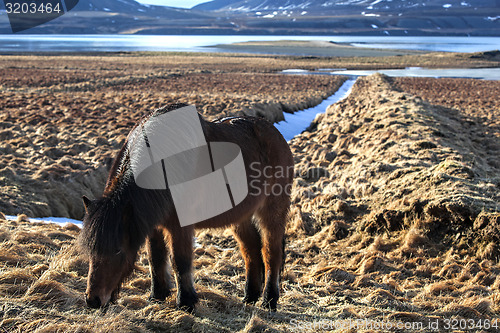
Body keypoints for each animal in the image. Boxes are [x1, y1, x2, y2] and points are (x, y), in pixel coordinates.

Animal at [79, 104, 292, 312]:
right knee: (251, 250)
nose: (93, 300)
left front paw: (186, 302)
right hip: (241, 216)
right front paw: (157, 295)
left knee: (271, 253)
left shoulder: (180, 226)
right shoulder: (154, 225)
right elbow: (155, 258)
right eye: (91, 249)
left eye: (117, 250)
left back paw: (269, 300)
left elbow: (180, 261)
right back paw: (250, 297)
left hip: (272, 212)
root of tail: (276, 134)